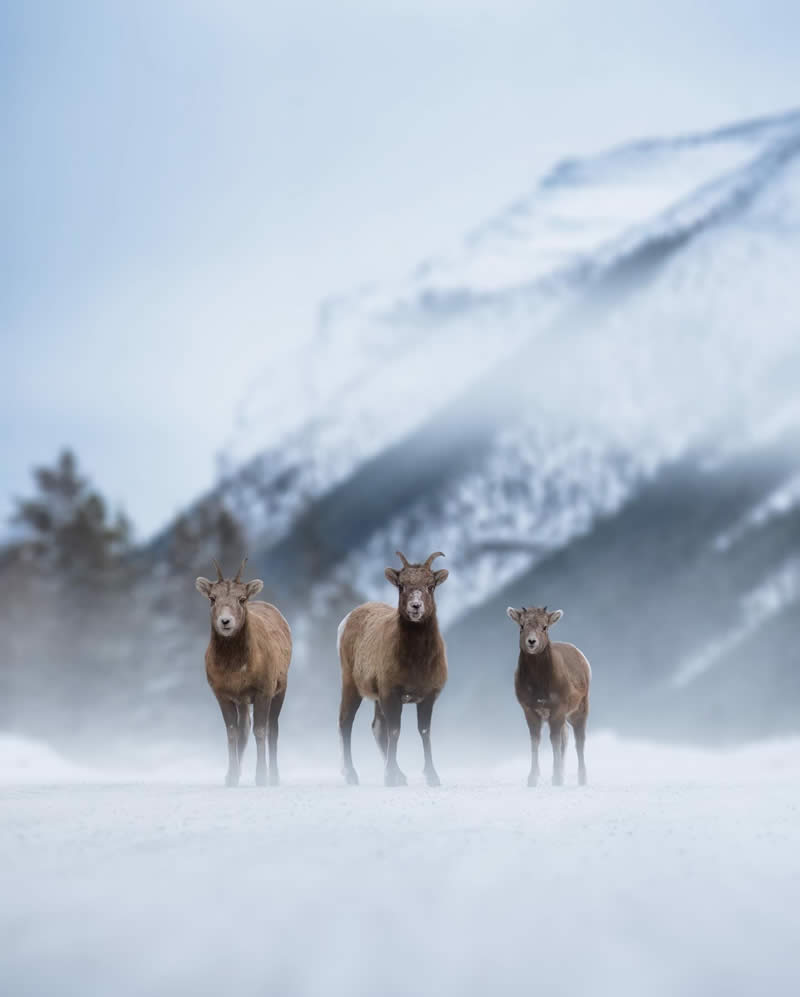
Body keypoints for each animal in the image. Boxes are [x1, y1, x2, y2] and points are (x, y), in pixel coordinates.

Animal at [196, 560, 290, 784]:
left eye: (242, 598)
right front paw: (230, 777)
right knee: (244, 730)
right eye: (212, 598)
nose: (225, 621)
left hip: (280, 691)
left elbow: (261, 731)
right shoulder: (225, 695)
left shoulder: (264, 691)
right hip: (244, 702)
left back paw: (275, 777)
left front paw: (261, 777)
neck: (237, 671)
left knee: (273, 729)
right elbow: (233, 733)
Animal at [336, 552, 450, 784]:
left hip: (376, 698)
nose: (415, 606)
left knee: (376, 728)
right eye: (401, 585)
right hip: (351, 685)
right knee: (345, 721)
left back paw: (400, 775)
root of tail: (345, 621)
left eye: (431, 586)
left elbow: (424, 731)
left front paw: (432, 777)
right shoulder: (391, 693)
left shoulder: (427, 696)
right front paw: (390, 778)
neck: (417, 663)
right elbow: (395, 731)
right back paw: (352, 776)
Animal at [506, 608, 588, 784]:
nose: (531, 641)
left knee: (579, 739)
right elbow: (535, 740)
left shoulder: (558, 707)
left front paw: (557, 778)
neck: (539, 689)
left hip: (580, 708)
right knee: (566, 735)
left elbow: (554, 739)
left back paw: (582, 778)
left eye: (544, 627)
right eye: (521, 626)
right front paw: (532, 778)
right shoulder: (529, 709)